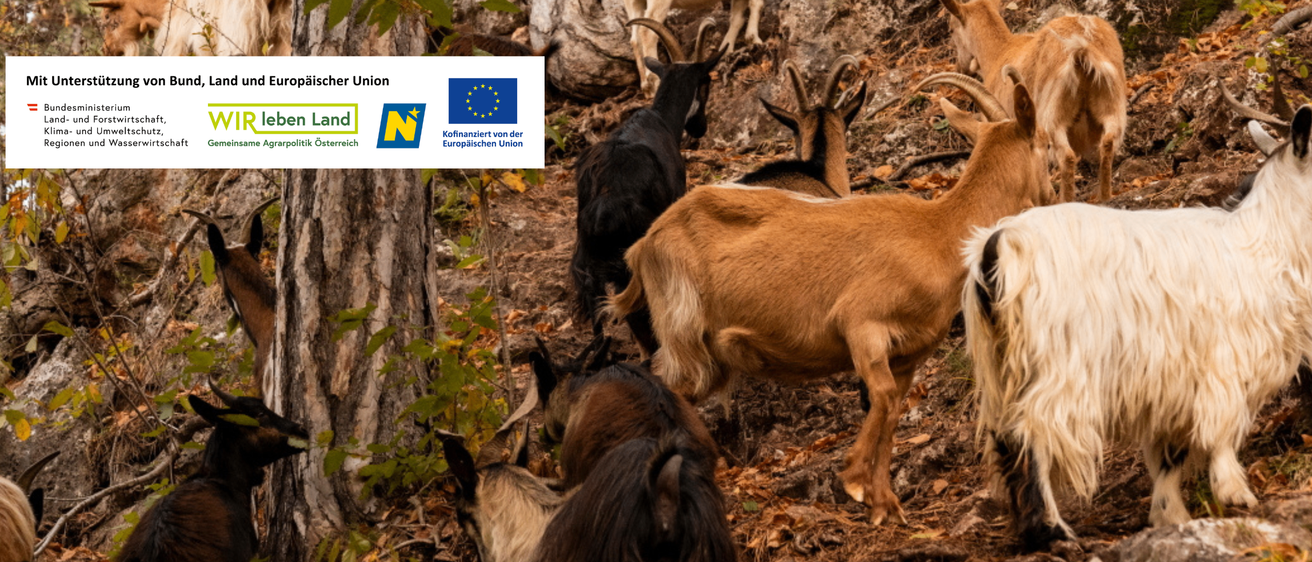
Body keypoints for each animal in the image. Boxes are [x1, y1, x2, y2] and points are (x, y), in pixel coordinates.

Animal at [607, 73, 1049, 524]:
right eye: (1045, 143)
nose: (1054, 193)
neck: (937, 233)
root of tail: (643, 246)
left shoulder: (909, 355)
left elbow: (892, 406)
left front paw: (885, 504)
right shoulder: (860, 324)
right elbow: (882, 395)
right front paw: (854, 478)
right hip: (683, 332)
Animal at [627, 0, 763, 95]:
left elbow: (737, 18)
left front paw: (726, 50)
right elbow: (756, 4)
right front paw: (755, 39)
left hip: (634, 4)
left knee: (635, 38)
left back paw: (646, 87)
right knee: (647, 32)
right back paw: (655, 81)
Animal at [940, 0, 1126, 203]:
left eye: (951, 29)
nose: (959, 67)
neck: (1001, 52)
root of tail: (1082, 51)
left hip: (1054, 116)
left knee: (1067, 157)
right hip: (1111, 105)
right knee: (1107, 143)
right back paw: (1104, 197)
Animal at [961, 107, 1312, 549]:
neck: (1268, 239)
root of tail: (999, 246)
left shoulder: (1173, 381)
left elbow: (1170, 454)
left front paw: (1169, 515)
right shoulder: (1223, 360)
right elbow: (1220, 429)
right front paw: (1235, 493)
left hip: (999, 366)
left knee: (1005, 437)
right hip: (1058, 366)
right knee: (1032, 433)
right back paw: (1054, 531)